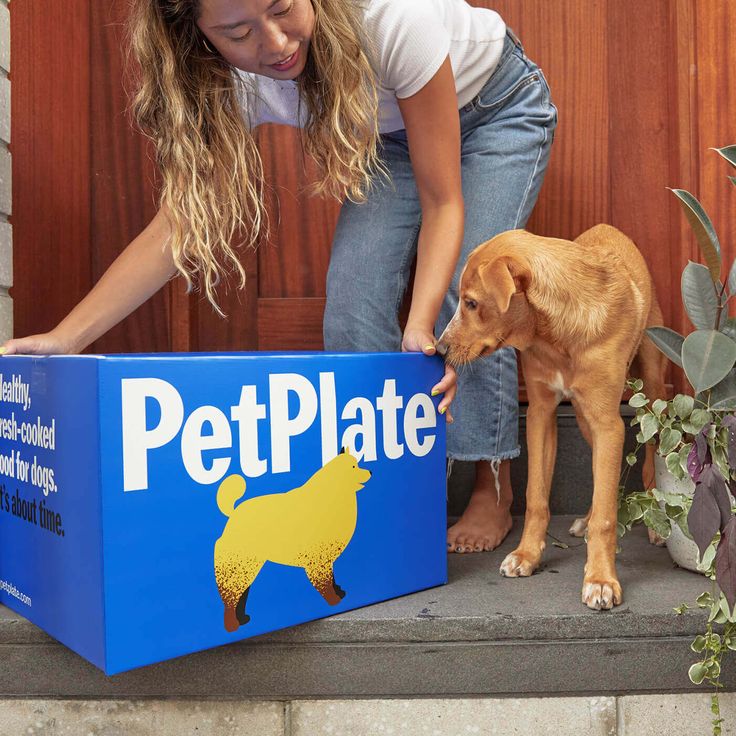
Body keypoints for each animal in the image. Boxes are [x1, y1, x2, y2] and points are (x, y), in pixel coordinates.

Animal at [436, 223, 668, 608]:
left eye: (471, 303)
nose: (439, 349)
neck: (557, 335)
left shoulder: (609, 423)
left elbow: (607, 517)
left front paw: (601, 580)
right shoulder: (542, 414)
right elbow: (536, 497)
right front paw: (527, 555)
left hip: (650, 392)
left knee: (650, 460)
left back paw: (654, 523)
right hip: (586, 418)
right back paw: (585, 519)